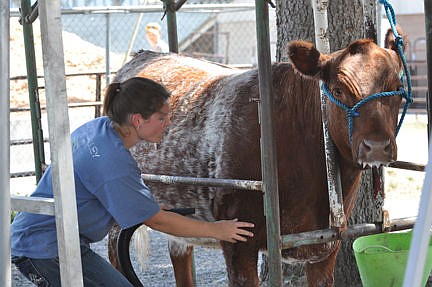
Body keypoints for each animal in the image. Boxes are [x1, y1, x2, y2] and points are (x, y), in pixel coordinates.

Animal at [107, 27, 408, 287]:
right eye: (338, 90)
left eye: (398, 87)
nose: (377, 146)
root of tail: (144, 55)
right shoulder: (238, 241)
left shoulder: (327, 244)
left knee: (180, 254)